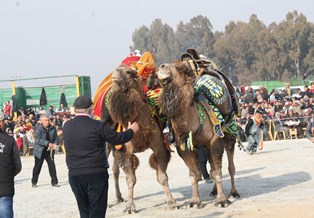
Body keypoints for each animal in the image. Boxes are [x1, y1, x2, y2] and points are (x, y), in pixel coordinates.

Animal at [106, 63, 177, 214]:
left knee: (115, 169)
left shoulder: (159, 146)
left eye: (128, 71)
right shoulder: (126, 150)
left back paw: (119, 197)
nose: (115, 72)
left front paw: (172, 202)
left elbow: (162, 177)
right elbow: (130, 179)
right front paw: (129, 207)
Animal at [157, 61, 240, 208]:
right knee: (212, 167)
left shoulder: (215, 139)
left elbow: (218, 172)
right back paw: (214, 191)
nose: (161, 67)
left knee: (230, 166)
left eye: (178, 67)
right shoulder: (183, 145)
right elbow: (194, 174)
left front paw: (222, 200)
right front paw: (195, 201)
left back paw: (233, 192)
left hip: (229, 134)